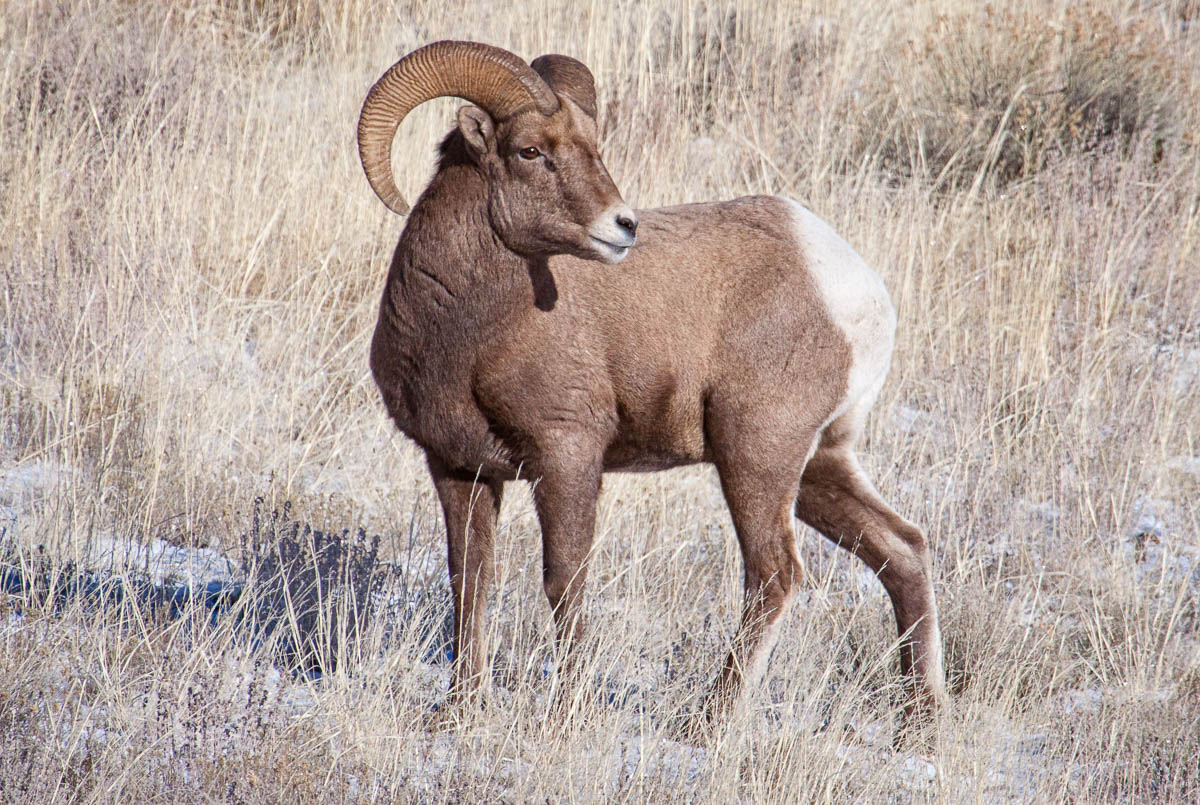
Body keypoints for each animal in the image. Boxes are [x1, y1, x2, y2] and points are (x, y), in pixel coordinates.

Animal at [357, 40, 945, 730]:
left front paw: (566, 713)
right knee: (901, 549)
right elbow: (469, 579)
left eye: (592, 145)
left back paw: (711, 720)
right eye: (530, 150)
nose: (622, 226)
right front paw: (459, 711)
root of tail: (853, 287)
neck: (466, 332)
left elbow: (564, 579)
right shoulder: (457, 468)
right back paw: (920, 716)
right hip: (819, 467)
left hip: (756, 456)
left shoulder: (567, 456)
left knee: (775, 574)